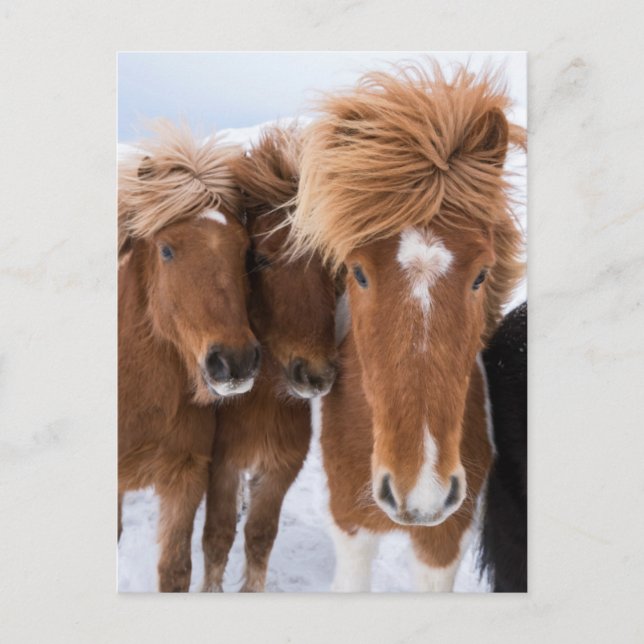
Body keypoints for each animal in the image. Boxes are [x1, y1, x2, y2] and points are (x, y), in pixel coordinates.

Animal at [201, 126, 337, 592]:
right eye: (259, 257)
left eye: (332, 266)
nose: (315, 375)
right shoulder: (221, 466)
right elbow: (217, 538)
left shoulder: (281, 468)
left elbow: (260, 538)